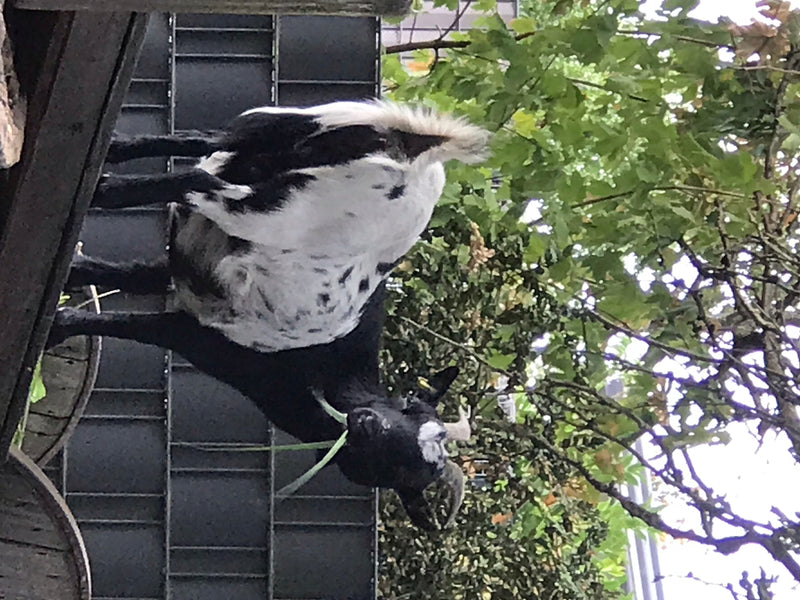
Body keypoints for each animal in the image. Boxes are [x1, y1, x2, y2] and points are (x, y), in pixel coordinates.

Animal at [50, 100, 488, 530]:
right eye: (409, 406)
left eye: (405, 468)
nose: (368, 422)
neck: (326, 370)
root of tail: (414, 157)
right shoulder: (205, 338)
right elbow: (133, 324)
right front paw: (60, 326)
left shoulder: (191, 285)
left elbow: (127, 276)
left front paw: (71, 285)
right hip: (269, 201)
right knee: (197, 179)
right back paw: (106, 186)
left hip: (280, 131)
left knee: (203, 145)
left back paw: (110, 162)